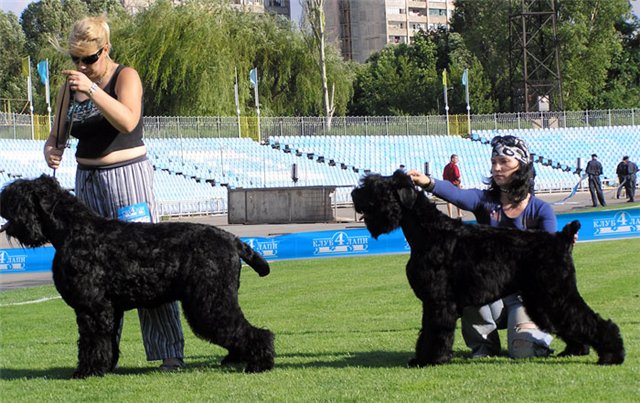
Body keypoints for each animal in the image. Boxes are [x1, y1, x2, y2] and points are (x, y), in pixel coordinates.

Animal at [0, 175, 276, 378]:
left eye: (18, 196)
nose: (4, 207)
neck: (74, 230)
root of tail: (233, 240)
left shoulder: (92, 308)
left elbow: (91, 342)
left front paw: (86, 371)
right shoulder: (108, 310)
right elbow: (107, 341)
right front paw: (104, 366)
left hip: (211, 302)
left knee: (253, 331)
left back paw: (258, 363)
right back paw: (236, 359)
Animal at [350, 172, 624, 368]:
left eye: (376, 187)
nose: (354, 193)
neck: (429, 232)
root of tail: (561, 238)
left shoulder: (438, 300)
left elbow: (435, 331)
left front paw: (430, 359)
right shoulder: (433, 302)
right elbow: (427, 330)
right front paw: (422, 357)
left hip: (556, 294)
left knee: (589, 319)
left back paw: (612, 355)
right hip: (543, 300)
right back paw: (576, 349)